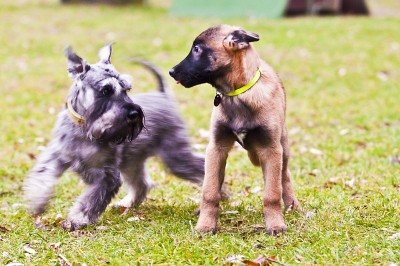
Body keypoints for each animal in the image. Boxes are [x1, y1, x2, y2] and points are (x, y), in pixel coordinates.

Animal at [23, 44, 203, 231]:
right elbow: (43, 176)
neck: (84, 127)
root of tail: (162, 95)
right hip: (132, 163)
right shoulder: (56, 155)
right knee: (141, 184)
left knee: (201, 165)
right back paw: (126, 204)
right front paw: (37, 202)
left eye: (127, 88)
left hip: (175, 156)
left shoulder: (107, 175)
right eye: (106, 90)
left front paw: (77, 219)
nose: (134, 114)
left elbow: (91, 200)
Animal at [170, 23, 304, 234]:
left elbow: (272, 193)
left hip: (283, 148)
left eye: (197, 49)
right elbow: (210, 191)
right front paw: (205, 224)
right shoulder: (216, 148)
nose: (171, 71)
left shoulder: (271, 149)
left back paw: (293, 207)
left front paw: (275, 224)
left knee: (284, 177)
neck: (237, 94)